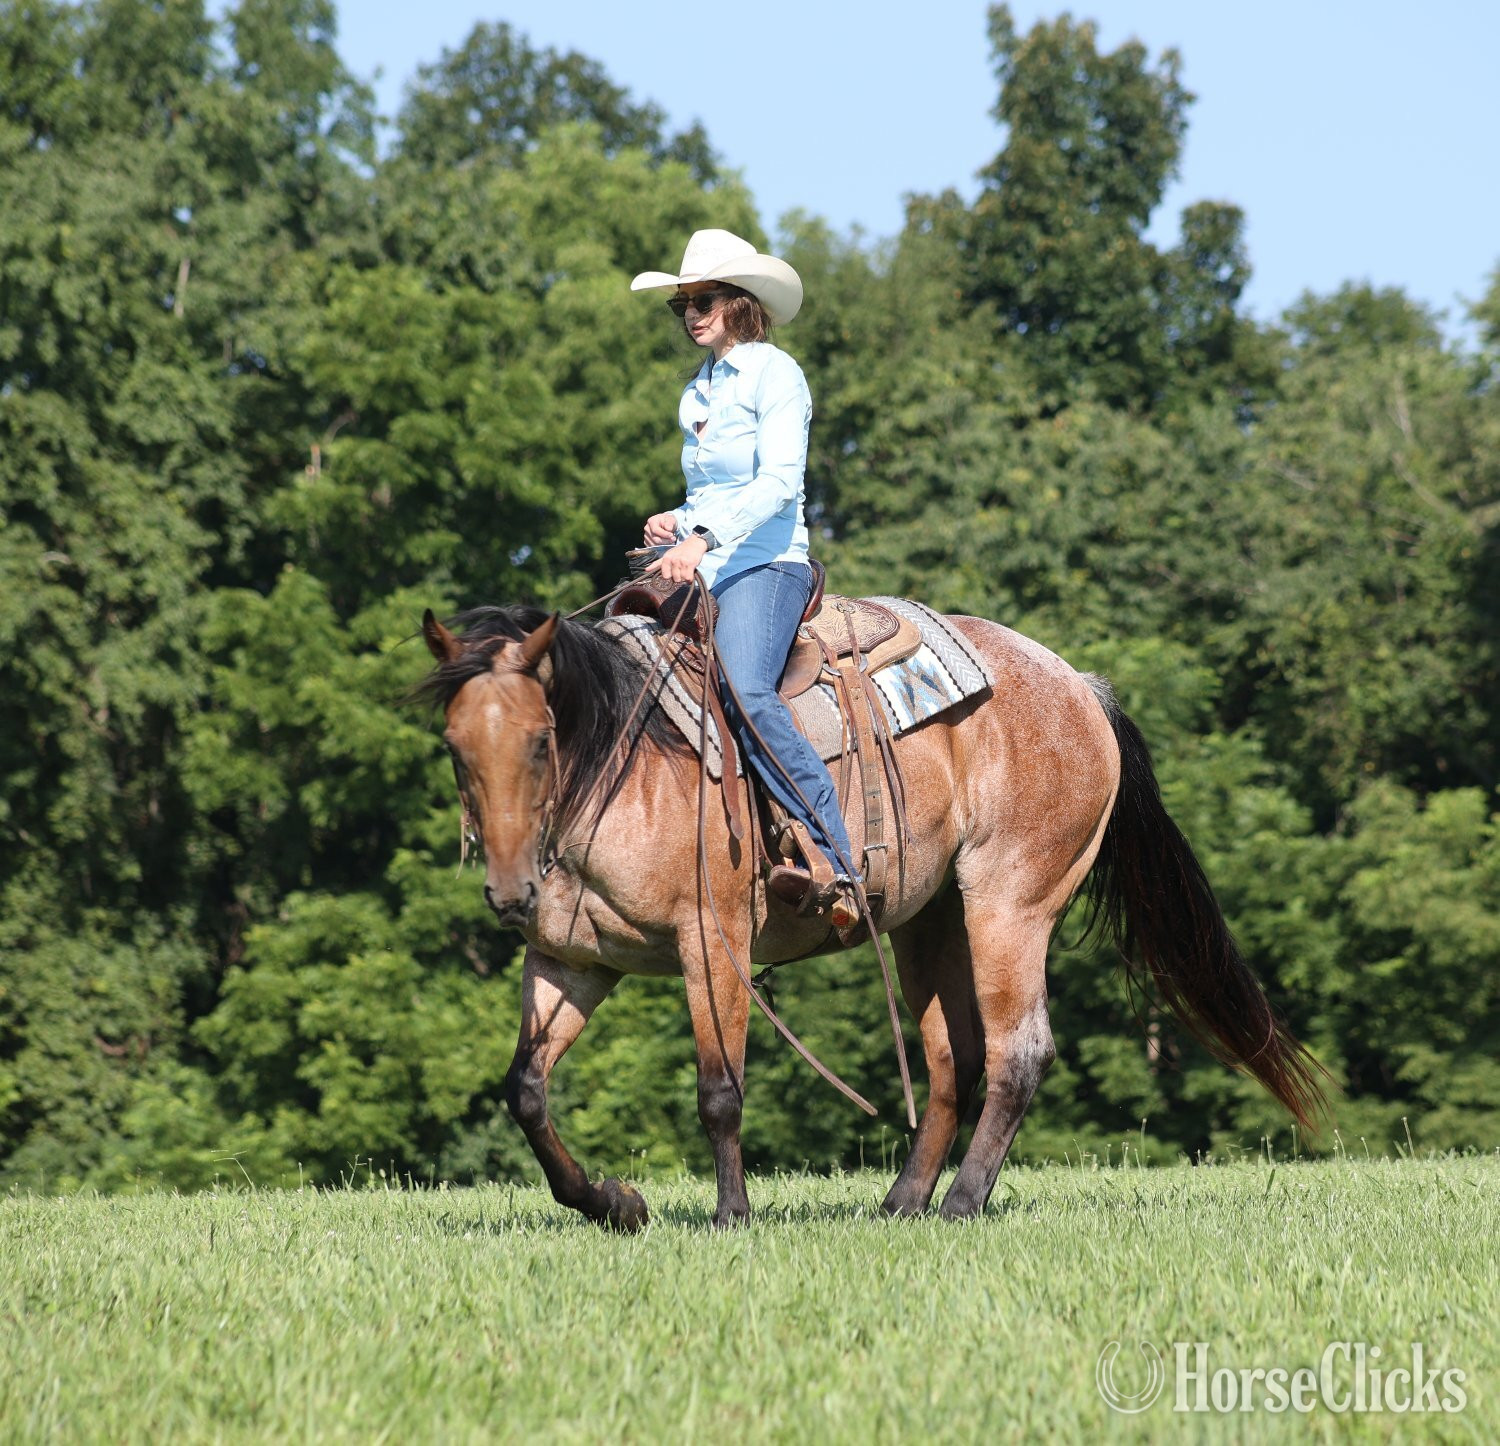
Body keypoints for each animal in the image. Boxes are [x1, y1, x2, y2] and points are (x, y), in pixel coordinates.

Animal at [416, 602, 1323, 1229]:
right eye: (455, 748)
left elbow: (720, 1089)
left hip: (1009, 904)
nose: (509, 893)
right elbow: (527, 1091)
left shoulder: (713, 938)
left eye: (540, 741)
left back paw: (960, 1203)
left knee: (1019, 1052)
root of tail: (1083, 689)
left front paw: (729, 1217)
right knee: (955, 1058)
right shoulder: (574, 962)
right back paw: (904, 1202)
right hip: (931, 921)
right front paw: (614, 1203)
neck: (627, 765)